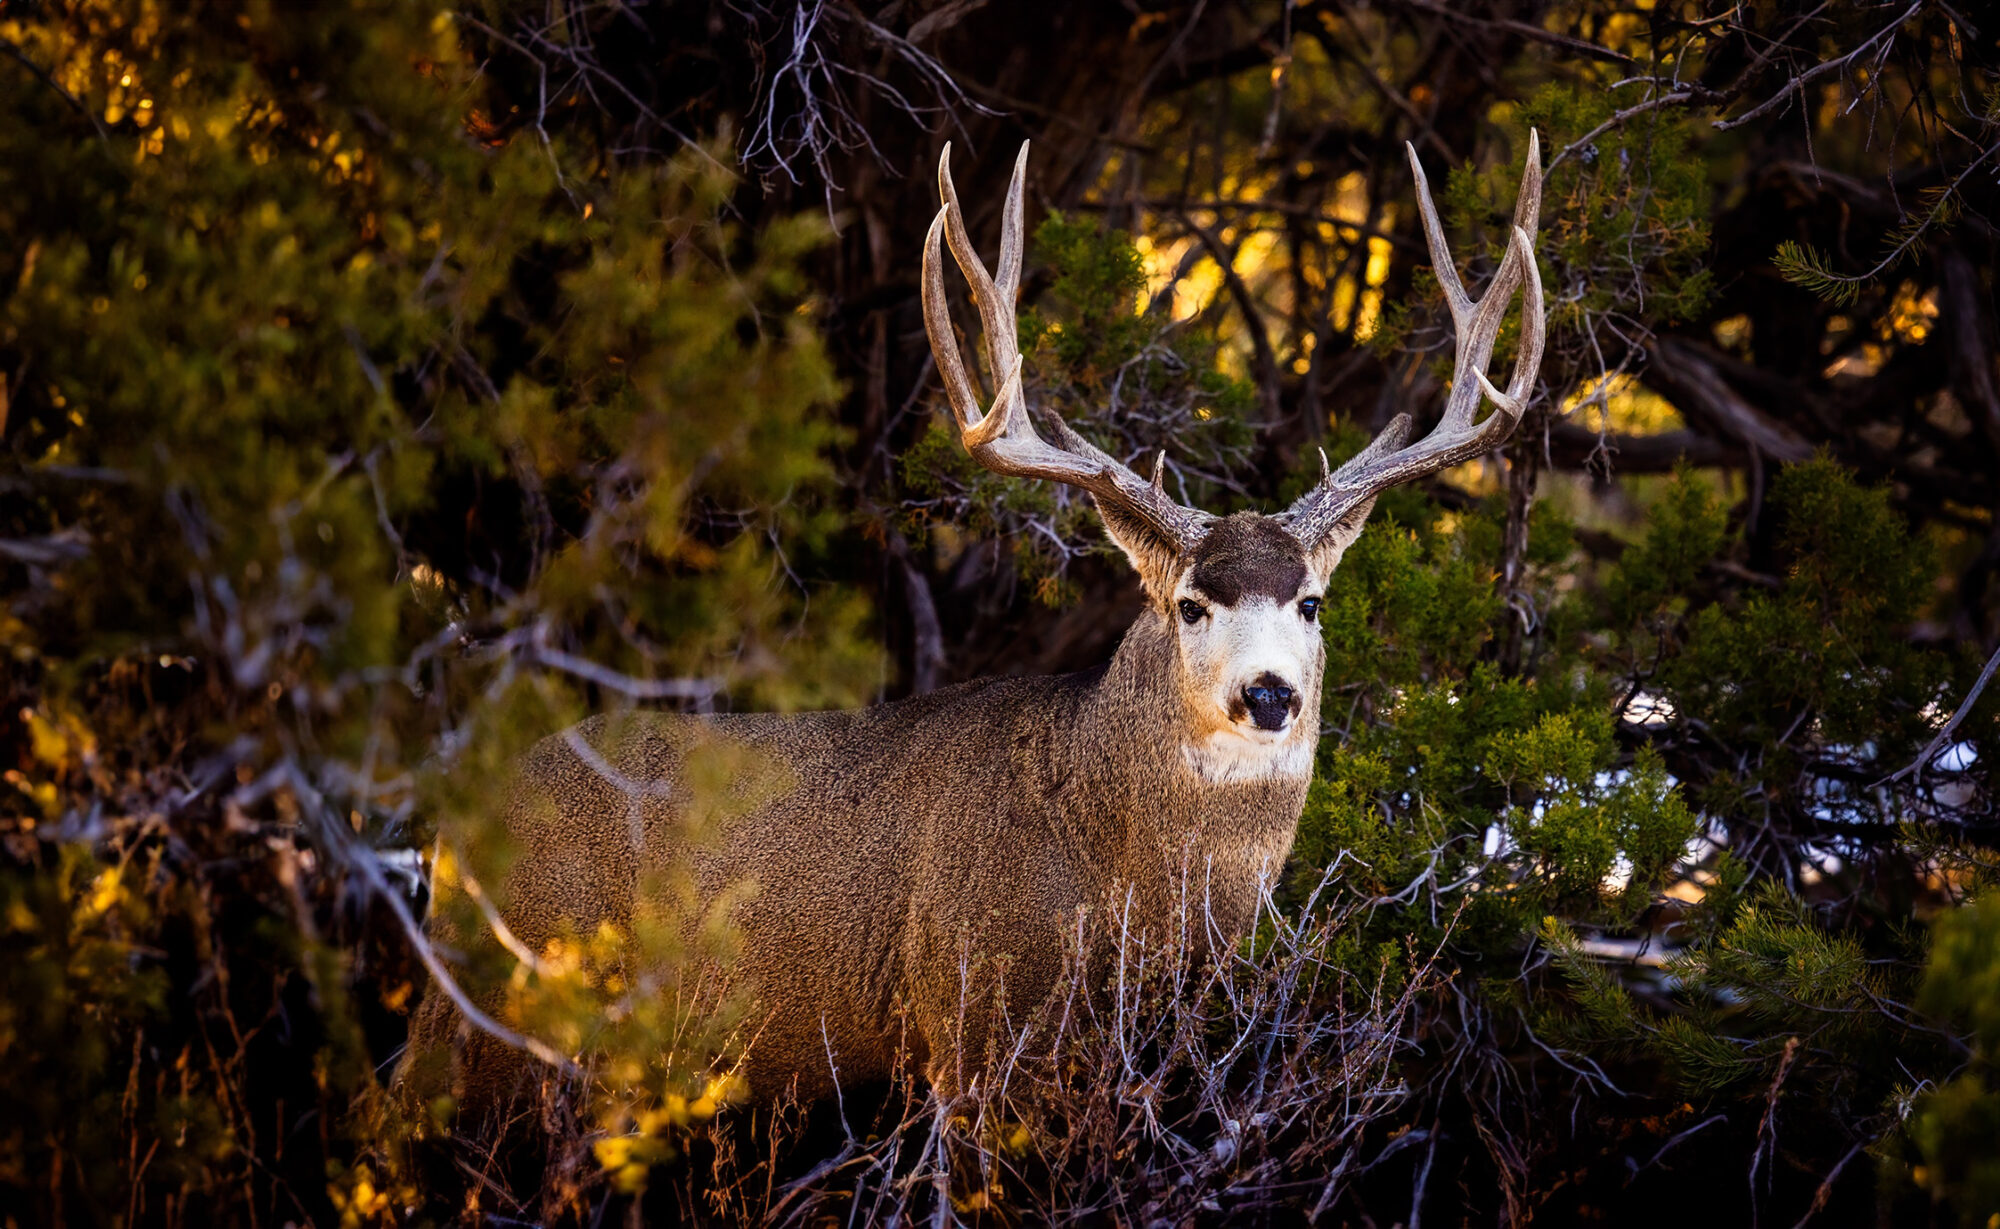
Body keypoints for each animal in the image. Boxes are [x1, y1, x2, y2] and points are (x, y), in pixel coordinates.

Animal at [406, 135, 1544, 1120]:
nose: (1269, 692)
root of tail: (456, 824)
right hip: (495, 1007)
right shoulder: (971, 1016)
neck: (1120, 879)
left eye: (1310, 601)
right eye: (1189, 602)